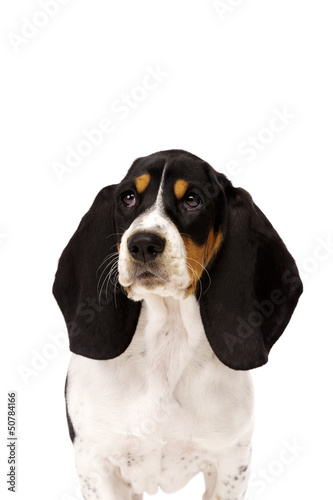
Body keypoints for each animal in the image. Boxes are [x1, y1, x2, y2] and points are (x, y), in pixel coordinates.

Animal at [52, 150, 300, 500]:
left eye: (193, 200)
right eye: (128, 198)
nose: (142, 244)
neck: (167, 342)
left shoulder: (230, 462)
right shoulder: (96, 464)